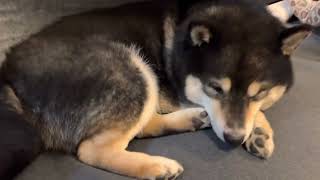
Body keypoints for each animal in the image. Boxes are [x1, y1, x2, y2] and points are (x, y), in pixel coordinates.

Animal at [0, 0, 310, 179]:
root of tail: (8, 75)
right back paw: (156, 167)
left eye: (259, 92)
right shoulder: (176, 91)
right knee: (92, 149)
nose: (234, 139)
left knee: (139, 127)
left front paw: (257, 132)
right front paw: (257, 129)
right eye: (215, 88)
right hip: (131, 66)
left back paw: (190, 121)